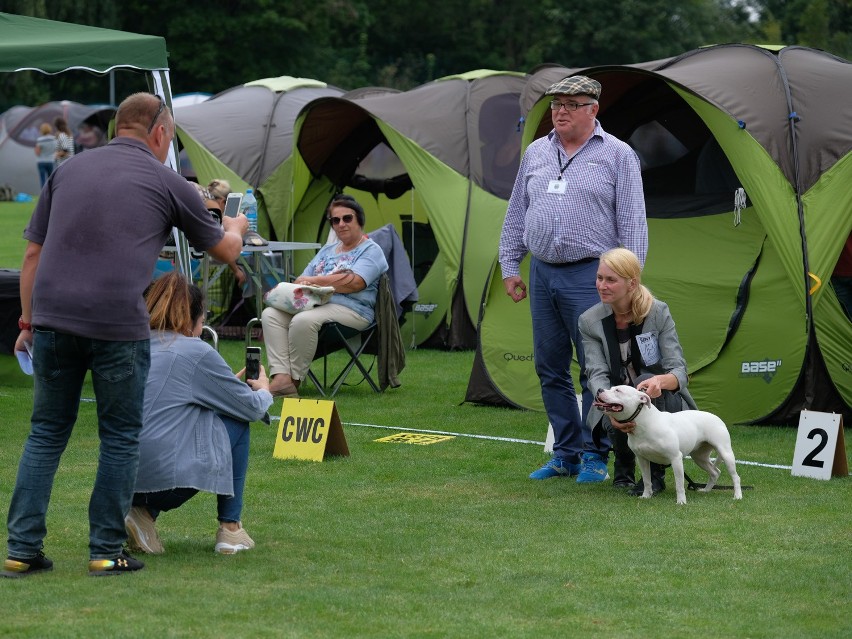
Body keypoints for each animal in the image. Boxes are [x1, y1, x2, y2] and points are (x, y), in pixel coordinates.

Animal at [592, 384, 740, 504]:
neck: (645, 423)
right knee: (715, 472)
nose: (599, 390)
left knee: (735, 476)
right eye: (610, 388)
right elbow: (647, 480)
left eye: (618, 390)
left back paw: (737, 496)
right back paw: (706, 490)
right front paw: (646, 496)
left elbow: (679, 484)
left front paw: (681, 501)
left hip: (725, 452)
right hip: (699, 457)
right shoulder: (642, 459)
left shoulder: (675, 458)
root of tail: (717, 417)